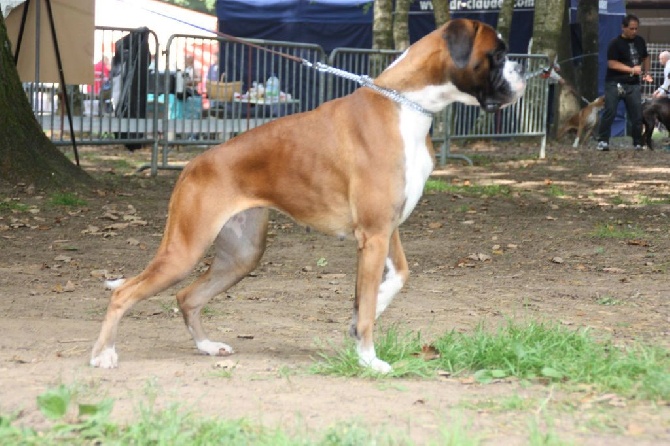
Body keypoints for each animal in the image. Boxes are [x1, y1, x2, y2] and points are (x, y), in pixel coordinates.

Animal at [92, 19, 528, 372]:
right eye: (498, 53)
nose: (524, 66)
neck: (408, 105)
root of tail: (193, 165)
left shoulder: (386, 230)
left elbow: (395, 279)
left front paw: (366, 312)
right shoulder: (374, 234)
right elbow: (369, 308)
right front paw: (369, 359)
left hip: (241, 255)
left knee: (187, 296)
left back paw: (207, 346)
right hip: (186, 248)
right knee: (127, 293)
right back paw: (103, 355)